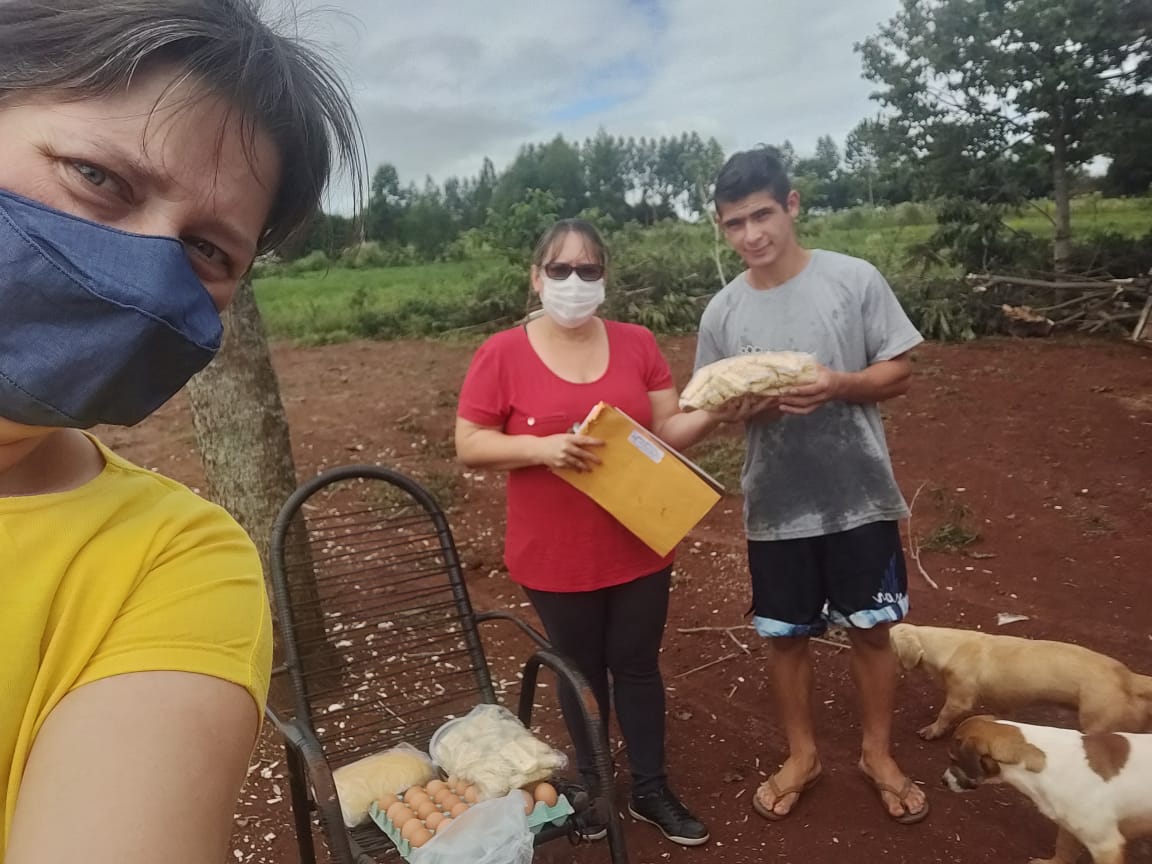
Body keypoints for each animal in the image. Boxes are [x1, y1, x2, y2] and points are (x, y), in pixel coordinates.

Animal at [884, 626, 1147, 741]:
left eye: (887, 641)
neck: (950, 645)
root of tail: (1129, 677)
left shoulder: (959, 698)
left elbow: (943, 715)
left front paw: (931, 730)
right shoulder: (1004, 703)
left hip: (1096, 725)